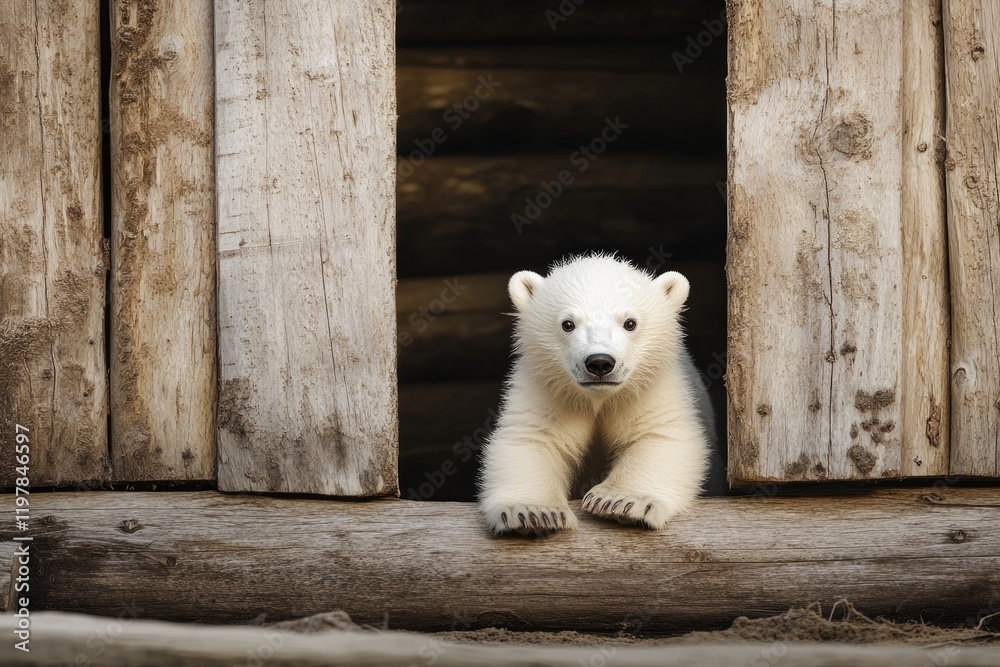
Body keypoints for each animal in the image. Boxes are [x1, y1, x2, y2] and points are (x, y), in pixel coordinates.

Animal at [478, 254, 715, 535]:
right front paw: (532, 513)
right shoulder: (548, 389)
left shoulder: (653, 389)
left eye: (630, 323)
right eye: (567, 324)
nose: (600, 362)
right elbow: (532, 438)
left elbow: (660, 434)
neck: (598, 399)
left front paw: (622, 503)